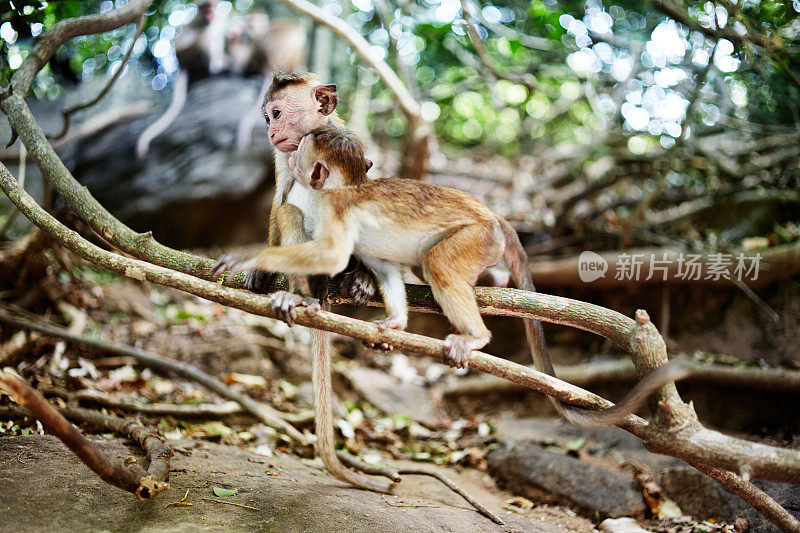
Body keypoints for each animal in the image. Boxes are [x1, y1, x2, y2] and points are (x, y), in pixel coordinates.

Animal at [137, 0, 230, 158]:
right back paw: (211, 70)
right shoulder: (196, 22)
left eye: (211, 6)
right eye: (205, 8)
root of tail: (184, 66)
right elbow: (181, 43)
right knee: (203, 38)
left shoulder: (220, 20)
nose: (209, 13)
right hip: (192, 58)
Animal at [211, 123, 688, 428]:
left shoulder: (337, 209)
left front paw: (248, 260)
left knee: (439, 265)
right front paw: (395, 323)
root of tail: (495, 216)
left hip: (477, 237)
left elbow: (329, 256)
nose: (290, 161)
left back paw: (476, 337)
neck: (343, 188)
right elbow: (384, 269)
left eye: (302, 156)